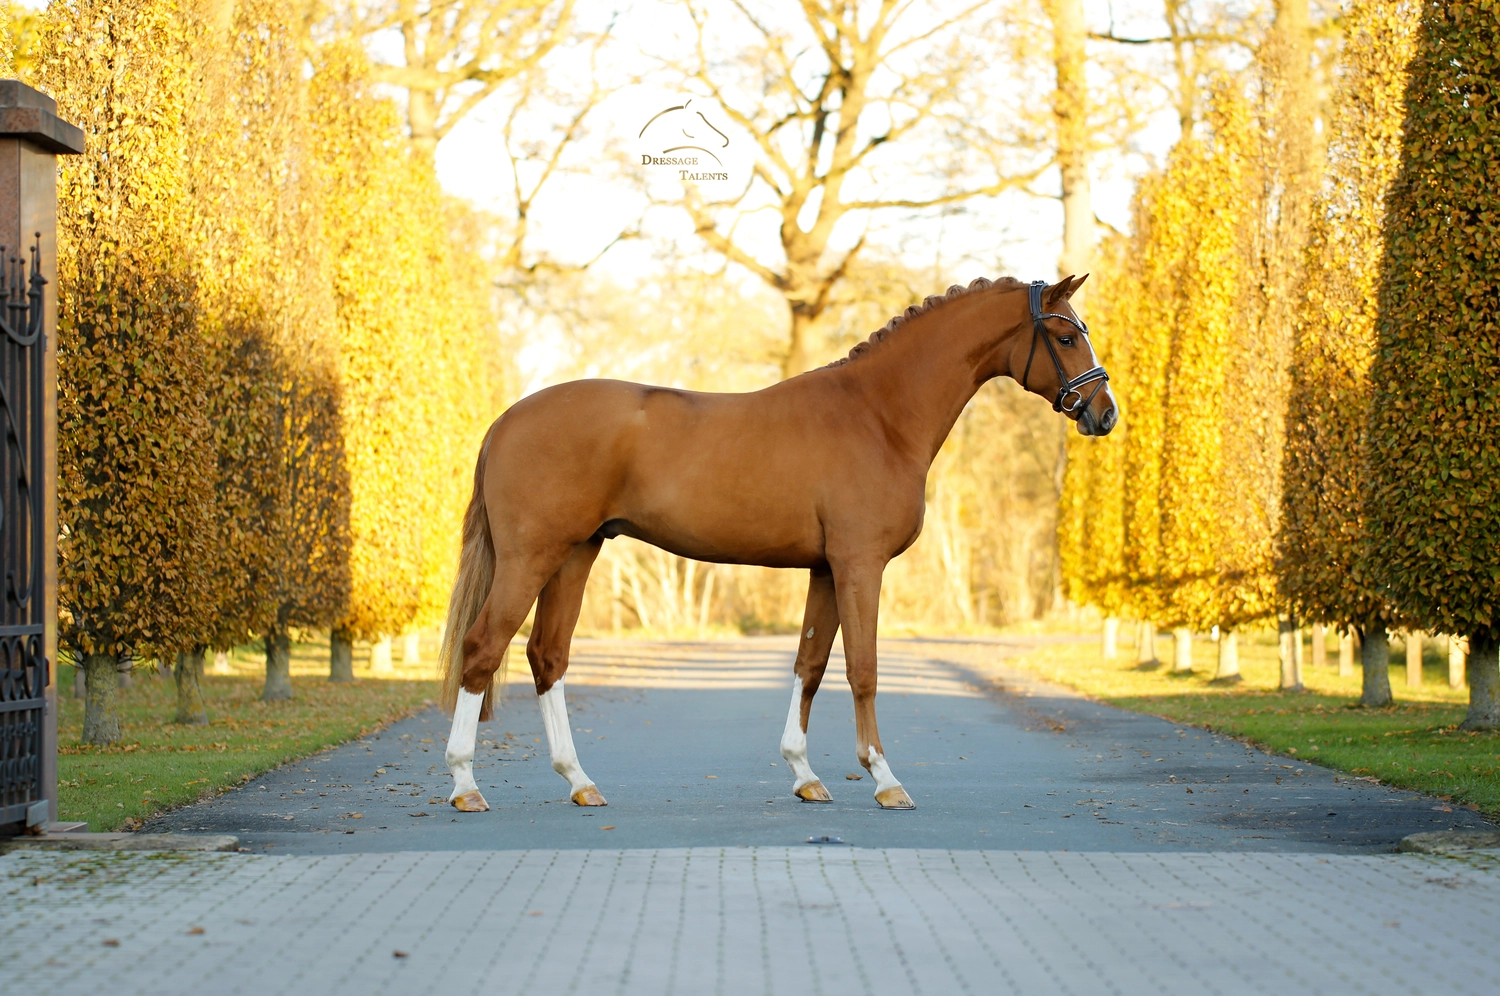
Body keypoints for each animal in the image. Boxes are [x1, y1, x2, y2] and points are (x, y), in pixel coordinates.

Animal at [438, 274, 1116, 812]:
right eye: (1064, 336)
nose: (1104, 413)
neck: (878, 415)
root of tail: (505, 422)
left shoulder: (826, 569)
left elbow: (810, 665)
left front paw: (804, 774)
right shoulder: (860, 565)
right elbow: (863, 668)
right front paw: (885, 779)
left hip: (576, 554)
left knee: (547, 656)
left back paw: (579, 781)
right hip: (531, 557)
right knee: (483, 647)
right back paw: (466, 785)